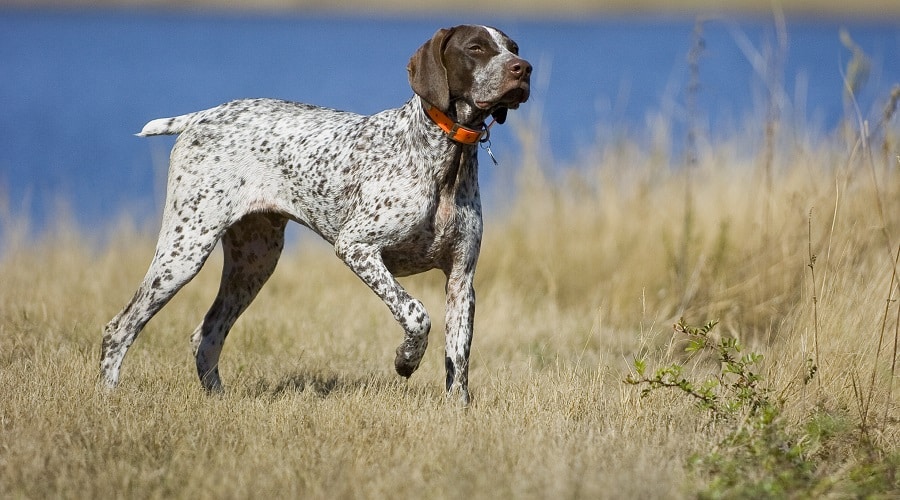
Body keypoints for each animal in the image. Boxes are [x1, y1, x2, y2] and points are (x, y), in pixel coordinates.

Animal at [101, 24, 532, 406]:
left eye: (512, 47)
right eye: (476, 48)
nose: (523, 68)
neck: (445, 156)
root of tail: (202, 116)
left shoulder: (461, 280)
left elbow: (458, 362)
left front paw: (457, 411)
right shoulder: (357, 247)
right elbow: (415, 313)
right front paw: (406, 360)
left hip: (253, 263)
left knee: (206, 335)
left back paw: (217, 401)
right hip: (185, 250)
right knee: (119, 328)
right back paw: (108, 398)